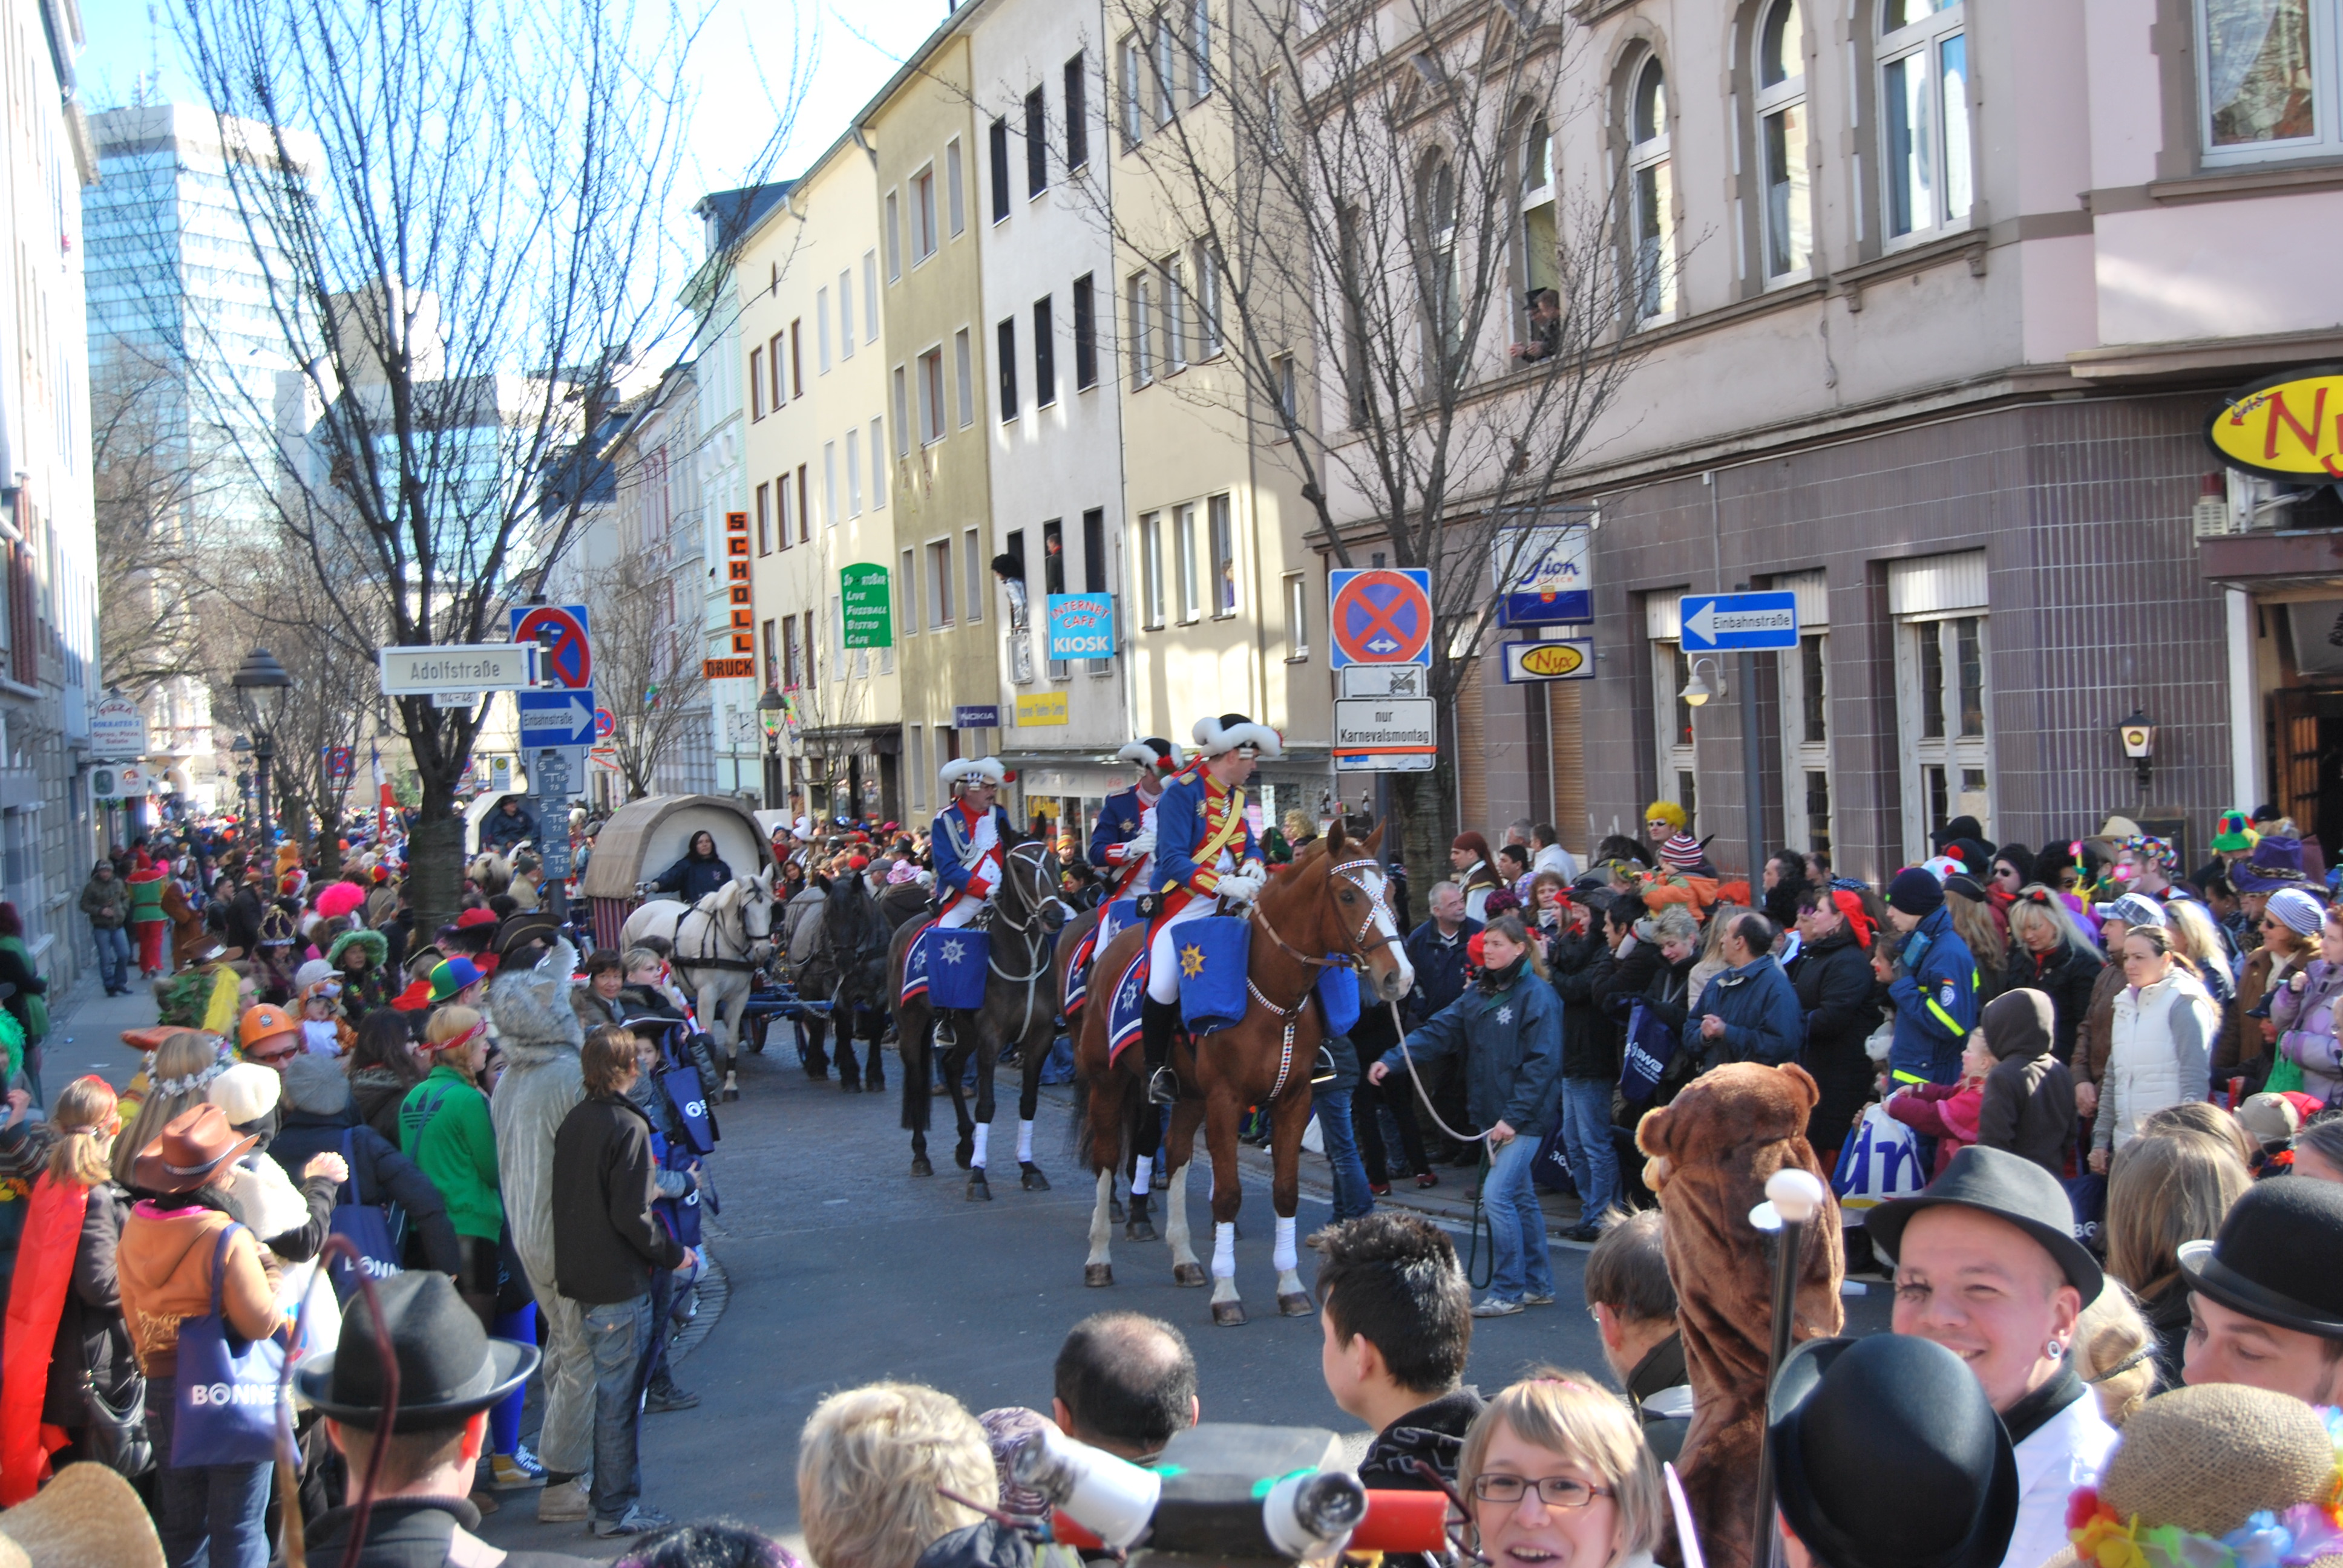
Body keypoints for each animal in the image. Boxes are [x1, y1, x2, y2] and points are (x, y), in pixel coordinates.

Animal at [622, 867, 779, 1101]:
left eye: (771, 907)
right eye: (744, 910)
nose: (764, 950)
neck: (725, 943)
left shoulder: (741, 996)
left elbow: (732, 1039)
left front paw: (730, 1085)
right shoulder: (707, 995)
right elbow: (708, 1035)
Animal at [888, 838, 1068, 1200]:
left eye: (1054, 862)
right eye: (1019, 869)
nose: (1055, 915)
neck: (1022, 957)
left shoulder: (1039, 1039)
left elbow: (1028, 1103)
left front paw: (1029, 1168)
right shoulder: (991, 1039)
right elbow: (986, 1106)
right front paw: (979, 1177)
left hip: (964, 1031)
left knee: (952, 1067)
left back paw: (965, 1145)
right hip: (912, 1026)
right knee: (917, 1079)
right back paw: (921, 1156)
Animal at [1072, 819, 1414, 1325]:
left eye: (1389, 889)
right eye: (1348, 895)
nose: (1400, 978)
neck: (1273, 989)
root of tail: (1112, 947)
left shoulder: (1293, 1100)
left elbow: (1286, 1192)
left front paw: (1291, 1288)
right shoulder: (1226, 1102)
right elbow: (1228, 1196)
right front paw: (1227, 1295)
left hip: (1188, 1096)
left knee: (1176, 1154)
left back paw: (1185, 1260)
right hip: (1108, 1082)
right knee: (1108, 1158)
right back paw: (1098, 1259)